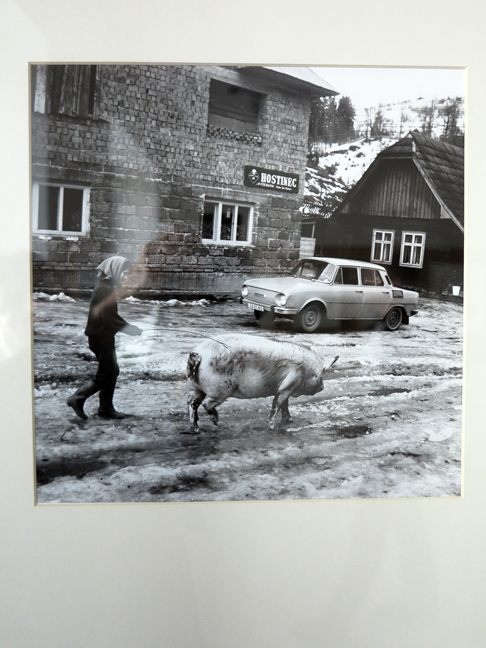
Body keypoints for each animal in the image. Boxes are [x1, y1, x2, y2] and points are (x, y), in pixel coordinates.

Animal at [186, 333, 338, 433]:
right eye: (320, 375)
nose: (323, 387)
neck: (306, 369)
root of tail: (198, 354)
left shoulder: (285, 387)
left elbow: (285, 404)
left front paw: (289, 420)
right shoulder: (289, 383)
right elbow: (278, 403)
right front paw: (271, 427)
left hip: (195, 387)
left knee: (192, 403)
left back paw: (196, 429)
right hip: (220, 389)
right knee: (206, 403)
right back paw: (216, 422)